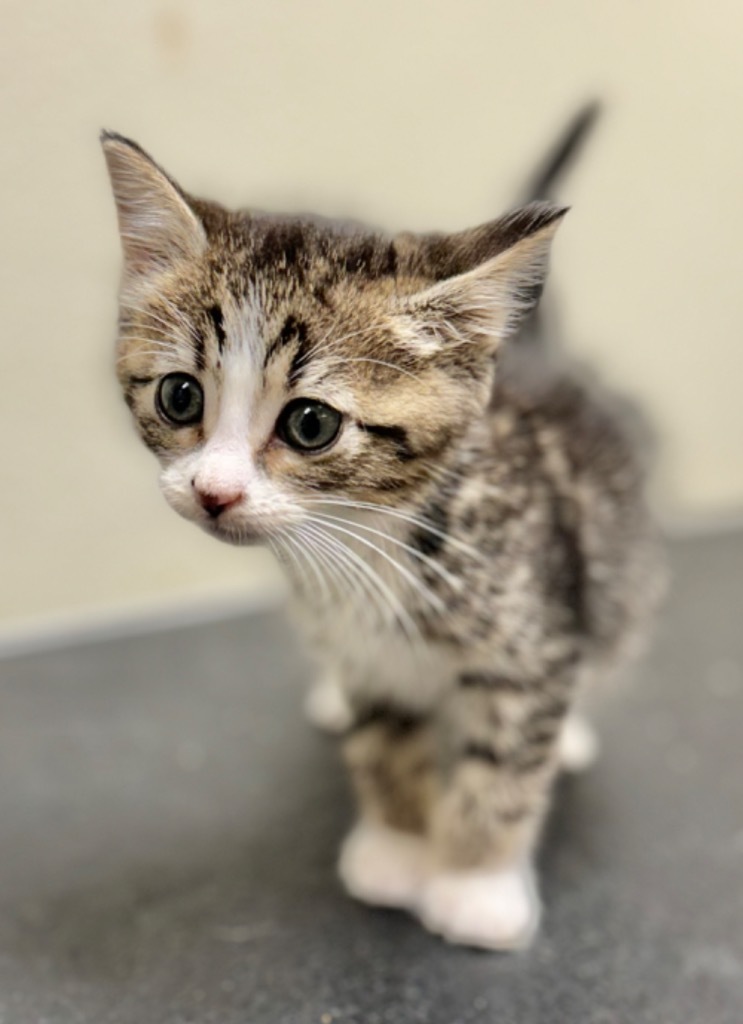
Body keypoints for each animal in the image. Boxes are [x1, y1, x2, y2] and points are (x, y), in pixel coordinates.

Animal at [101, 117, 667, 950]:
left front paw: (471, 886)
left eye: (309, 424)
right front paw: (399, 850)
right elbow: (384, 742)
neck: (364, 540)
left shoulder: (531, 638)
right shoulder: (367, 656)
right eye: (179, 396)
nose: (213, 492)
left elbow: (501, 770)